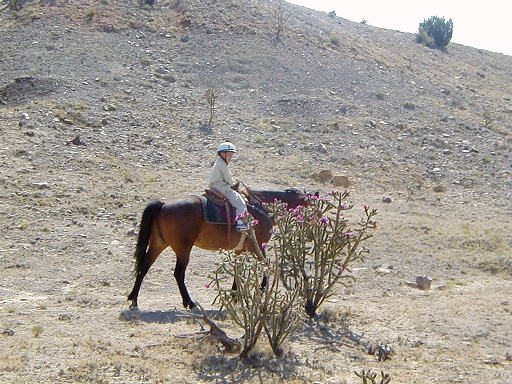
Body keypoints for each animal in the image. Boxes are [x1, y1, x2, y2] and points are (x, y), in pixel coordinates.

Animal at [128, 188, 312, 310]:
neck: (262, 209)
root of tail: (163, 203)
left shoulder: (240, 250)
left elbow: (238, 269)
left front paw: (235, 295)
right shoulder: (257, 246)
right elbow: (266, 265)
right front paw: (261, 289)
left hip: (159, 243)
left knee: (144, 266)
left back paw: (133, 298)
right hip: (183, 248)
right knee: (178, 273)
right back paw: (189, 302)